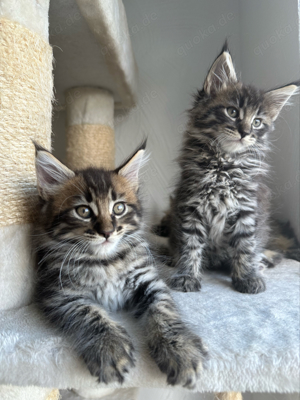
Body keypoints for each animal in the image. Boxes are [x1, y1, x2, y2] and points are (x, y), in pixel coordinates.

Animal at [32, 143, 206, 388]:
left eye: (119, 209)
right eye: (83, 211)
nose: (107, 232)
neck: (106, 261)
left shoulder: (149, 282)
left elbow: (164, 312)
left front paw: (181, 350)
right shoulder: (59, 294)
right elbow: (91, 314)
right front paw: (110, 348)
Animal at [165, 43, 298, 294]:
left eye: (257, 122)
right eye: (233, 112)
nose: (245, 132)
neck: (223, 165)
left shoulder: (247, 207)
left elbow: (245, 246)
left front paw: (247, 277)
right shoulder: (191, 205)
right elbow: (190, 244)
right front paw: (187, 274)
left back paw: (263, 260)